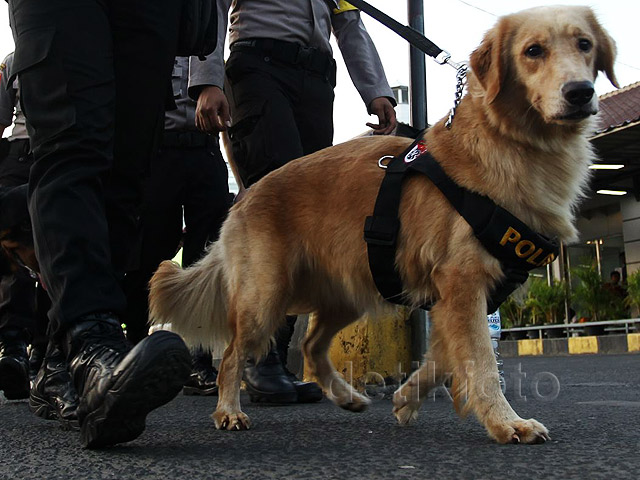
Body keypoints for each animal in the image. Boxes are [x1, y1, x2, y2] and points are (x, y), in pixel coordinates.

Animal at [148, 5, 616, 444]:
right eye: (533, 51)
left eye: (585, 45)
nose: (581, 93)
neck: (511, 144)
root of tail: (246, 194)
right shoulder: (462, 285)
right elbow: (480, 361)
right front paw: (506, 423)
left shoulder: (460, 297)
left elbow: (444, 359)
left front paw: (406, 399)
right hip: (265, 295)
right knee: (233, 355)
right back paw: (229, 409)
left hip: (349, 289)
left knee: (311, 346)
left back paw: (345, 396)